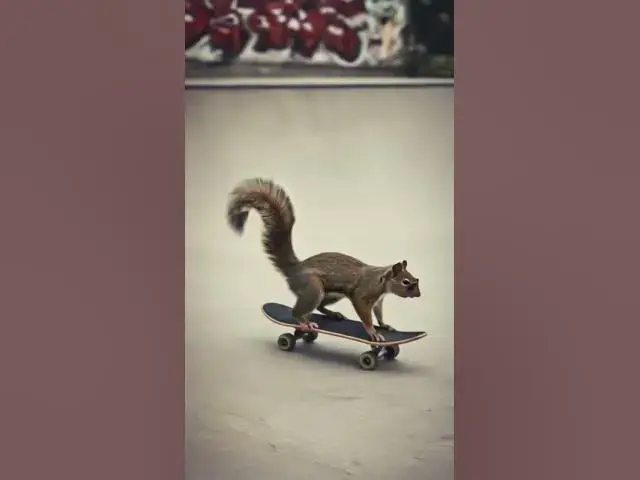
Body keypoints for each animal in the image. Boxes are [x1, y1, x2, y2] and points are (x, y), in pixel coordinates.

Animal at [226, 178, 421, 342]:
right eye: (405, 281)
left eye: (414, 278)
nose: (419, 295)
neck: (381, 281)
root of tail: (295, 269)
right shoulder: (363, 294)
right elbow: (366, 315)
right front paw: (373, 332)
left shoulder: (378, 301)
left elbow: (379, 314)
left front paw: (385, 325)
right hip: (313, 288)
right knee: (297, 311)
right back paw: (305, 323)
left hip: (331, 294)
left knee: (319, 307)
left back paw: (332, 314)